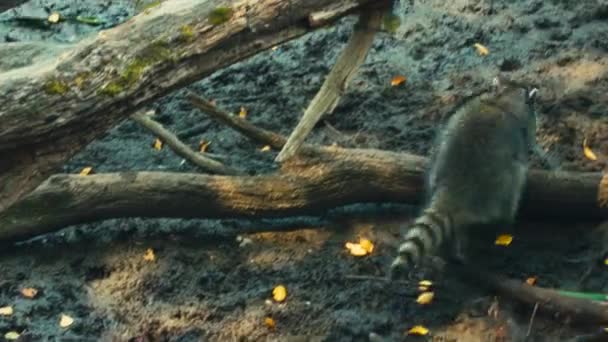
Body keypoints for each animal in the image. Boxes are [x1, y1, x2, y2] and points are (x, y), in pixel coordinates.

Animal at [390, 75, 536, 278]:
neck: (502, 101)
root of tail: (454, 185)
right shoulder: (520, 133)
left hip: (437, 162)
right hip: (498, 186)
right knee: (514, 182)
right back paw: (506, 221)